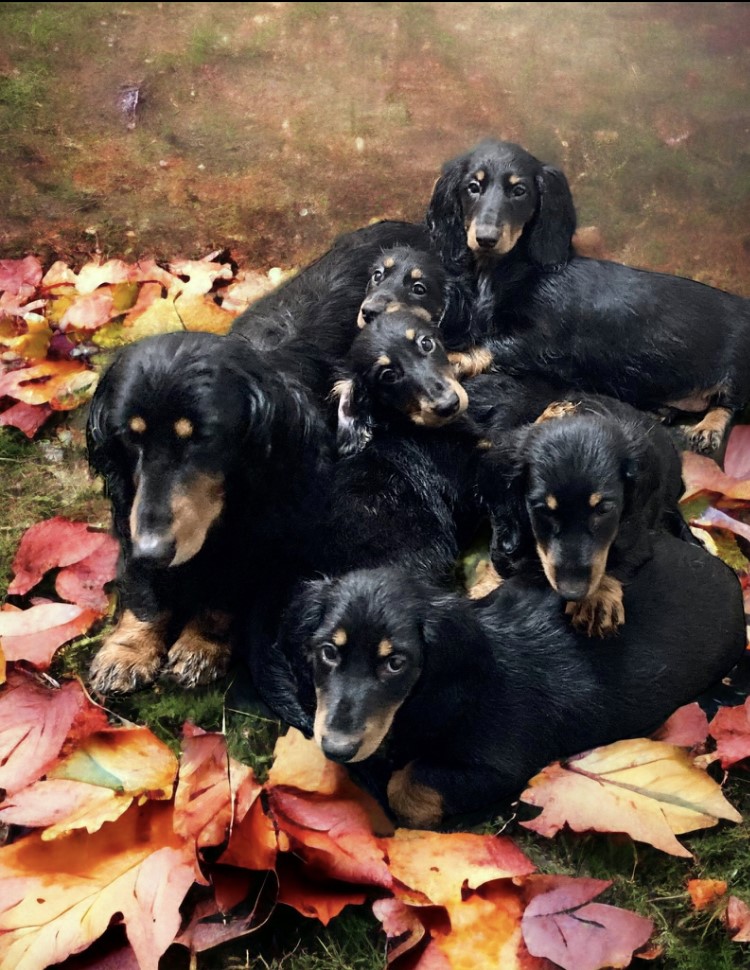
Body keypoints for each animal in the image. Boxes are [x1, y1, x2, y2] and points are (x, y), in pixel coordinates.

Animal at [86, 328, 334, 692]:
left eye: (202, 439)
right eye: (131, 438)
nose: (153, 551)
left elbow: (227, 585)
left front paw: (200, 645)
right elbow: (141, 582)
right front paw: (129, 648)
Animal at [268, 532, 748, 828]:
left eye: (396, 663)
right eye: (328, 652)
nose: (336, 748)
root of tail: (722, 569)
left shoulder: (501, 766)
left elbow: (406, 783)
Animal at [426, 138, 750, 456]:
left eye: (520, 191)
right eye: (473, 186)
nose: (486, 238)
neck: (509, 270)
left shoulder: (545, 340)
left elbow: (490, 345)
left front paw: (454, 358)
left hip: (737, 367)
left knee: (728, 403)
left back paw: (707, 428)